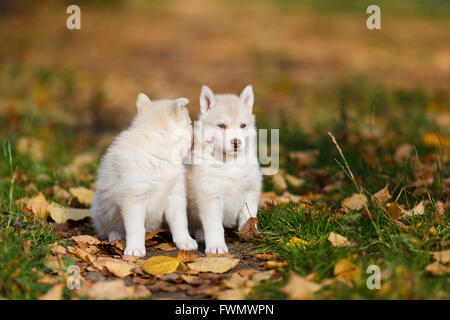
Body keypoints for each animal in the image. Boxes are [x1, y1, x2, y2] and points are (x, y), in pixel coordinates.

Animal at [91, 91, 197, 256]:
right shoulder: (134, 199)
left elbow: (180, 222)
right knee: (108, 228)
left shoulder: (175, 196)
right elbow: (136, 228)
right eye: (190, 124)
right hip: (102, 209)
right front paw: (135, 248)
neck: (159, 155)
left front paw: (185, 241)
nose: (198, 135)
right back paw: (116, 235)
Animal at [187, 85, 264, 255]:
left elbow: (248, 216)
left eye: (243, 125)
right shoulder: (210, 196)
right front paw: (216, 246)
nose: (236, 142)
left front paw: (249, 233)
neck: (230, 163)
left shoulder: (250, 189)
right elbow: (214, 226)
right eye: (222, 126)